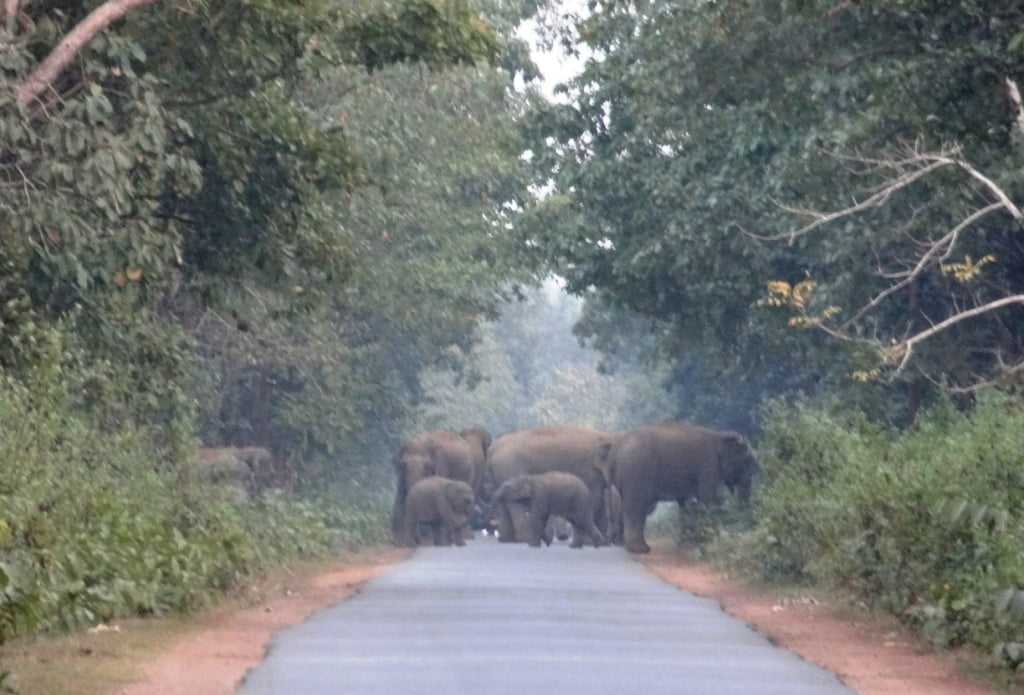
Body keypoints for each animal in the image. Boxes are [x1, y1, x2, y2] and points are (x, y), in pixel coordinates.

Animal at [598, 423, 761, 552]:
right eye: (746, 462)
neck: (718, 435)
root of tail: (614, 450)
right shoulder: (708, 466)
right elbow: (707, 498)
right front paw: (708, 543)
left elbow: (686, 504)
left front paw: (686, 545)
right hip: (636, 473)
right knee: (636, 508)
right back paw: (639, 550)